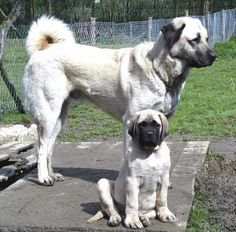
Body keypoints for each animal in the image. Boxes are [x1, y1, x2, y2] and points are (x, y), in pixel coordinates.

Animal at [22, 15, 216, 186]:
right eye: (194, 39)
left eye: (206, 38)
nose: (214, 56)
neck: (159, 69)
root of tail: (43, 49)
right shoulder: (131, 121)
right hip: (49, 115)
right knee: (41, 148)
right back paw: (44, 178)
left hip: (60, 117)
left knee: (49, 148)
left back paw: (52, 174)